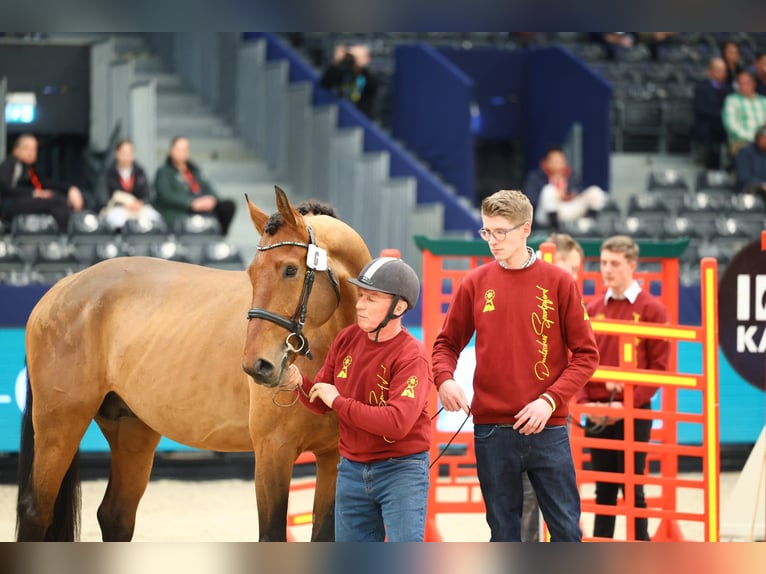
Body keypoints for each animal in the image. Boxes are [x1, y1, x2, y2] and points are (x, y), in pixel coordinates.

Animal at [16, 187, 372, 541]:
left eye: (290, 270)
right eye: (252, 273)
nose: (258, 365)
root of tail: (63, 286)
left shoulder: (333, 458)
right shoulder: (274, 452)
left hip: (131, 429)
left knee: (116, 515)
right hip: (59, 426)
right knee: (37, 511)